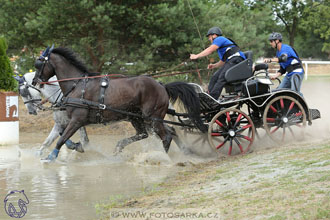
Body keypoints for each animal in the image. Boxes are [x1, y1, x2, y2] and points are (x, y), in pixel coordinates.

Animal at [32, 46, 206, 162]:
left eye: (39, 64)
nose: (35, 81)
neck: (77, 85)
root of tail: (161, 85)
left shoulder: (77, 120)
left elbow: (61, 139)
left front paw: (50, 157)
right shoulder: (70, 120)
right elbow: (62, 136)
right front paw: (76, 146)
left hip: (152, 118)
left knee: (166, 136)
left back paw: (162, 157)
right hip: (138, 118)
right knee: (149, 133)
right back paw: (119, 148)